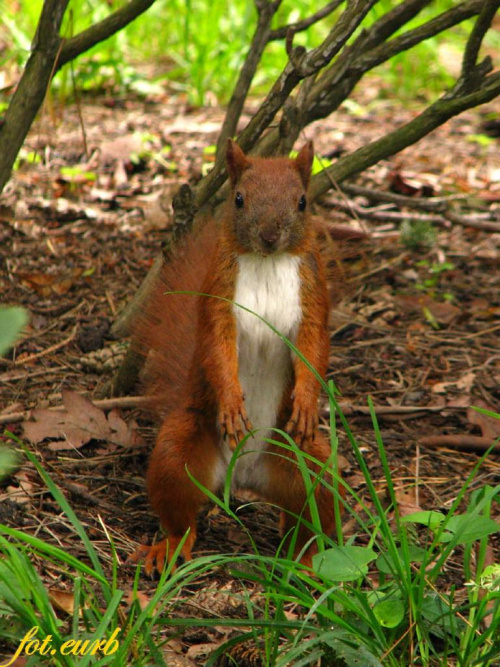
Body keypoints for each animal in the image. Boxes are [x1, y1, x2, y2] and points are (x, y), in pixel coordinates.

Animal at [132, 140, 340, 576]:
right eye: (239, 199)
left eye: (302, 201)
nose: (270, 235)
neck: (268, 263)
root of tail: (245, 477)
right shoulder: (218, 299)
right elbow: (218, 350)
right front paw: (231, 404)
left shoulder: (313, 299)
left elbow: (314, 349)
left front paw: (307, 403)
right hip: (178, 453)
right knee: (181, 516)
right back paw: (168, 548)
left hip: (312, 466)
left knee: (310, 518)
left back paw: (306, 561)